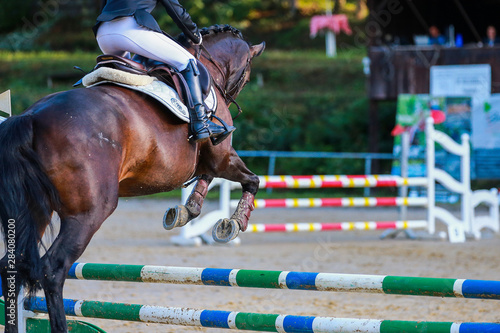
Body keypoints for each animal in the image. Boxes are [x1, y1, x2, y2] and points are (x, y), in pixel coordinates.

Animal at [0, 24, 264, 330]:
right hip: (89, 212)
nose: (234, 99)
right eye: (247, 73)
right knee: (53, 269)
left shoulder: (209, 161)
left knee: (13, 266)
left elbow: (207, 178)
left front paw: (186, 210)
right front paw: (235, 222)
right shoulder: (221, 156)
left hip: (34, 211)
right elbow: (251, 180)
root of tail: (30, 117)